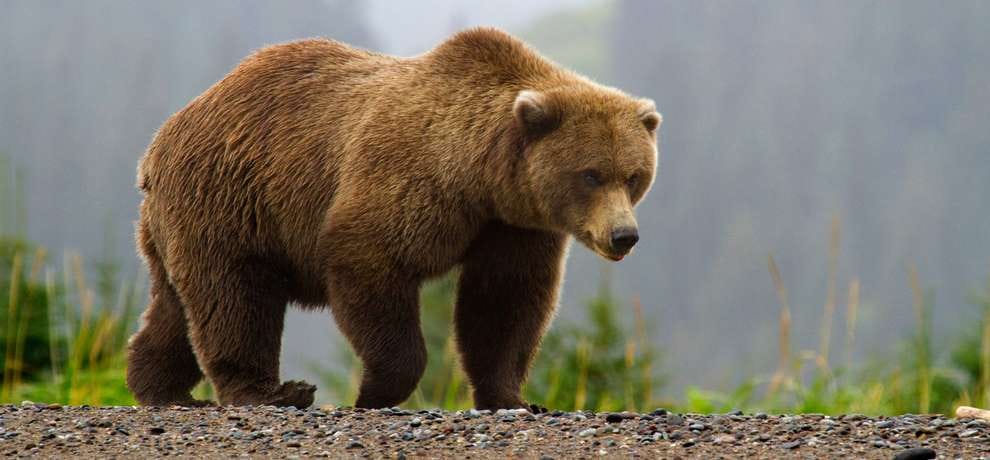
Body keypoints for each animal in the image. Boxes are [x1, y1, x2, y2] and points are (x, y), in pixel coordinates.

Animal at [126, 27, 661, 410]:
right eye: (591, 174)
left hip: (182, 221)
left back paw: (159, 386)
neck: (480, 176)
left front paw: (514, 397)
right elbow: (370, 262)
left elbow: (505, 302)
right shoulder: (408, 179)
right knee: (235, 296)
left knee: (176, 305)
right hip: (232, 198)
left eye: (634, 175)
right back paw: (271, 392)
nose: (624, 235)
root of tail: (160, 141)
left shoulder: (513, 225)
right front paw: (374, 391)